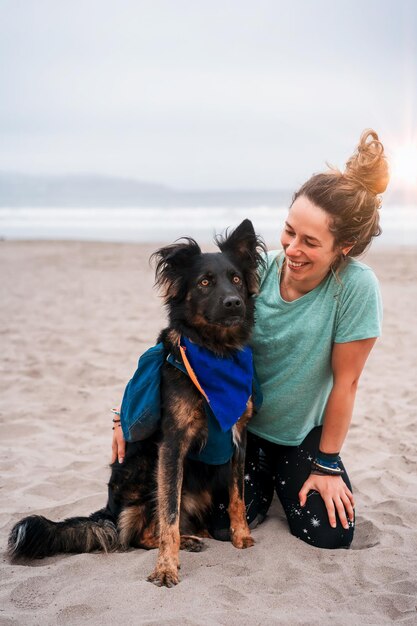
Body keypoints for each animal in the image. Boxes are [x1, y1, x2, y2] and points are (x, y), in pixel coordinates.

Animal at [7, 218, 264, 584]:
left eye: (237, 279)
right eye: (204, 282)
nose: (233, 303)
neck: (217, 352)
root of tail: (109, 510)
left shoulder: (238, 438)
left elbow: (237, 495)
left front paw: (241, 535)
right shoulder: (172, 445)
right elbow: (168, 514)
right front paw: (166, 567)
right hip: (143, 466)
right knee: (141, 533)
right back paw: (183, 540)